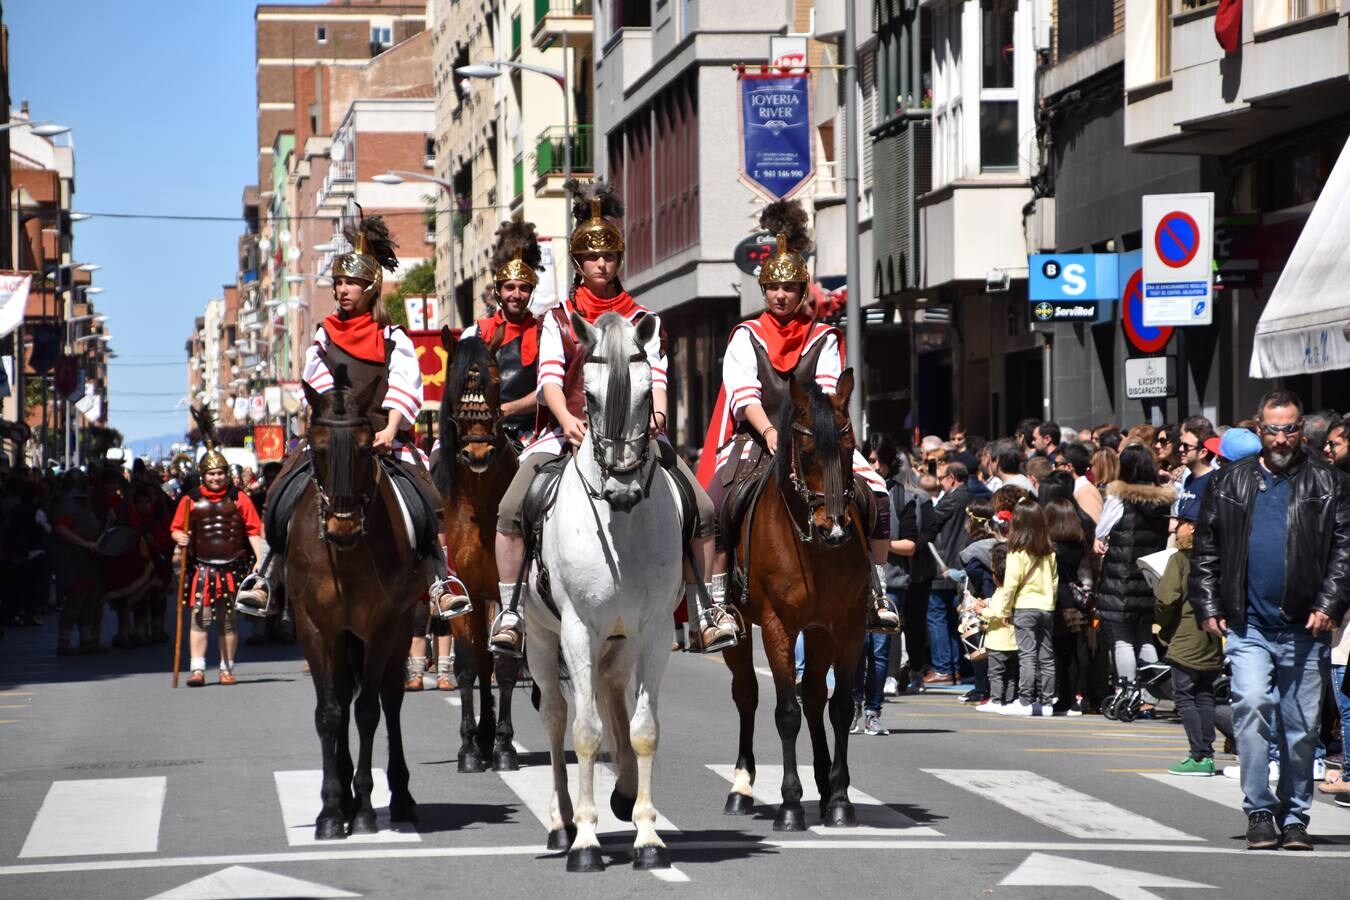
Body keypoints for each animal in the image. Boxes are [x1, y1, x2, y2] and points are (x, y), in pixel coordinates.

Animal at [290, 377, 426, 841]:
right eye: (317, 447)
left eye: (368, 449)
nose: (342, 527)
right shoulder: (315, 629)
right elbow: (329, 714)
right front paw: (331, 811)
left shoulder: (382, 628)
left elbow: (369, 711)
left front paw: (365, 809)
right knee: (343, 695)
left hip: (400, 628)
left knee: (389, 698)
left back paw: (398, 796)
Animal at [523, 311, 685, 874]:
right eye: (589, 398)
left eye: (646, 394)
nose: (622, 488)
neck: (621, 524)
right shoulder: (577, 628)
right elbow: (586, 733)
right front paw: (587, 841)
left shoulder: (655, 631)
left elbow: (644, 728)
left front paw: (648, 836)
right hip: (540, 640)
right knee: (556, 719)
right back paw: (561, 822)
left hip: (620, 641)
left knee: (613, 694)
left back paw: (624, 792)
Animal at [723, 372, 869, 831]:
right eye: (805, 454)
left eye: (849, 449)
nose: (834, 530)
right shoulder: (777, 627)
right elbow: (786, 711)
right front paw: (790, 804)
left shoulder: (848, 627)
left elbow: (840, 706)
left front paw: (839, 797)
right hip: (740, 632)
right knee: (747, 695)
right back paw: (741, 788)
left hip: (819, 632)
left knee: (816, 696)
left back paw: (823, 784)